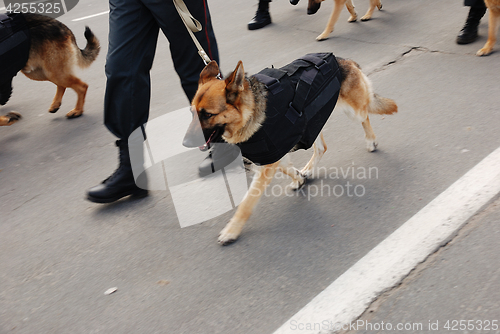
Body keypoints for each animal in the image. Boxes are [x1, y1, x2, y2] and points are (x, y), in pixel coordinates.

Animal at [184, 56, 398, 245]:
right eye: (192, 112)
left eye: (208, 115)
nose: (184, 142)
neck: (248, 113)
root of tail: (344, 60)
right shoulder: (273, 156)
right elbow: (287, 168)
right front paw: (300, 179)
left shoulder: (267, 163)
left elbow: (246, 203)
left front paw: (231, 230)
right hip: (311, 121)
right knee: (322, 147)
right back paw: (308, 169)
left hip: (353, 112)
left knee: (365, 114)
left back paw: (371, 140)